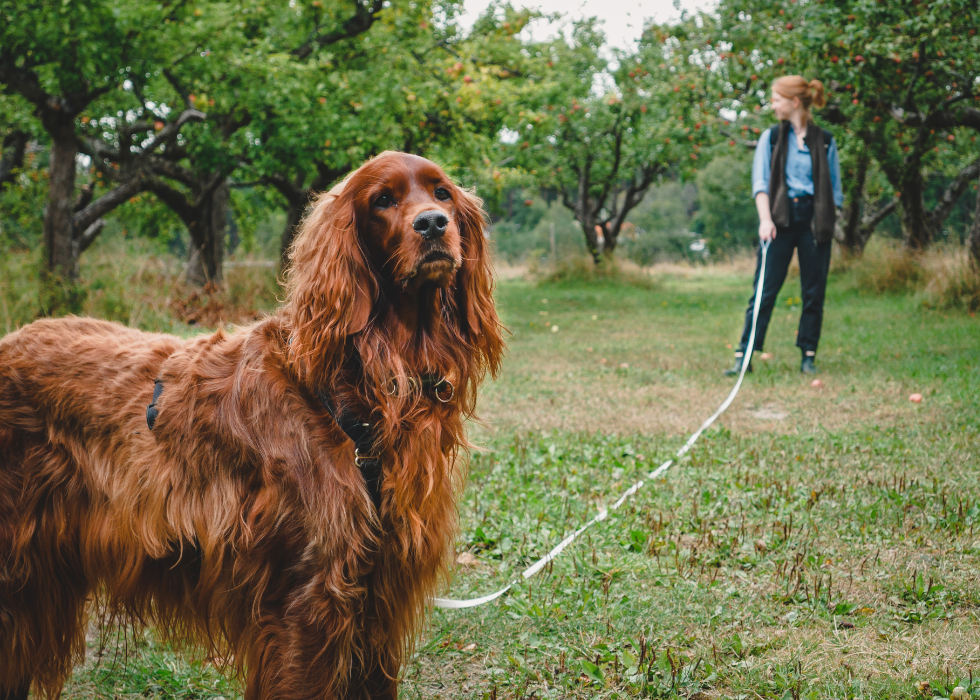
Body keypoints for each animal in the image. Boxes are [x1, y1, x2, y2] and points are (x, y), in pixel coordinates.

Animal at [0, 153, 502, 700]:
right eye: (383, 200)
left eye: (442, 192)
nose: (433, 224)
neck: (353, 389)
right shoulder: (305, 603)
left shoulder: (376, 604)